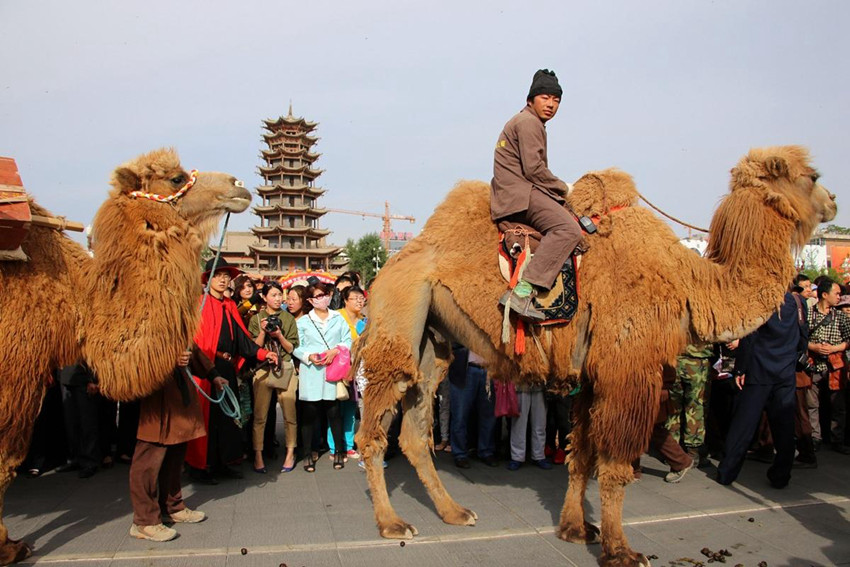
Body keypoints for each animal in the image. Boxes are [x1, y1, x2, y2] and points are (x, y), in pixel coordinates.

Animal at [352, 148, 836, 567]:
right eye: (812, 177)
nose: (833, 203)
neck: (687, 282)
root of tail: (393, 262)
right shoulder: (627, 369)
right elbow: (615, 465)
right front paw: (621, 552)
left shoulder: (591, 374)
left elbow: (581, 453)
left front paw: (576, 529)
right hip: (399, 314)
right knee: (373, 431)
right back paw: (392, 524)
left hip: (432, 340)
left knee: (415, 429)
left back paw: (455, 513)